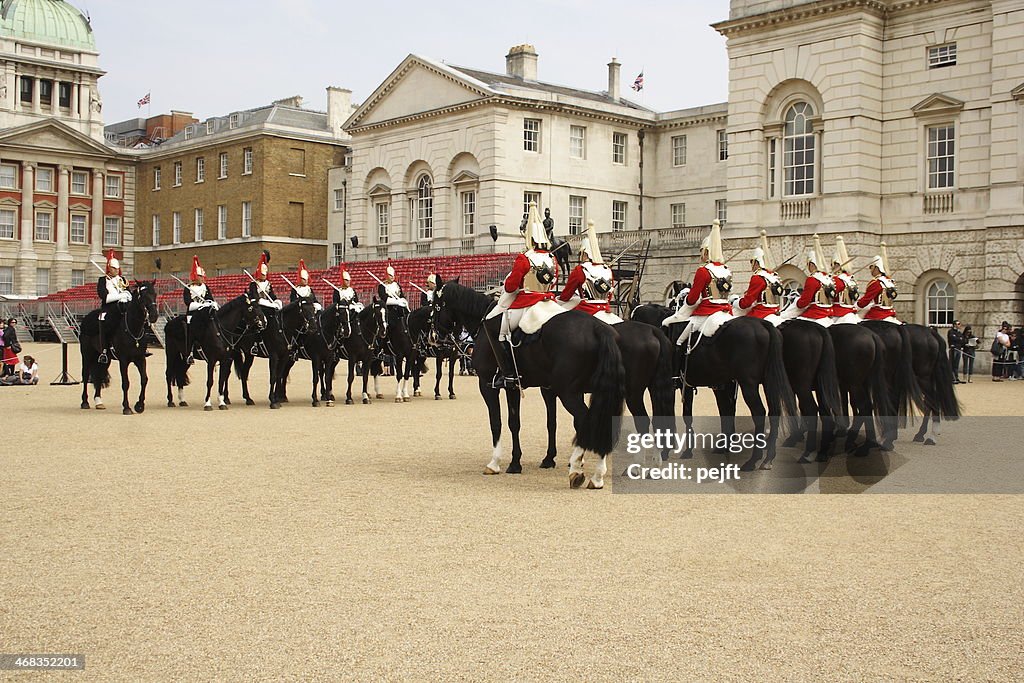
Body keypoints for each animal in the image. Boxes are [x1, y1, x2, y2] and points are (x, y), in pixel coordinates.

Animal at [78, 280, 157, 413]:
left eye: (155, 294)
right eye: (142, 296)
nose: (154, 316)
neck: (133, 330)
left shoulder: (140, 358)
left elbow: (144, 380)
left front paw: (139, 405)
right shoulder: (123, 360)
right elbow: (126, 383)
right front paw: (127, 407)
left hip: (105, 359)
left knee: (99, 375)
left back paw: (99, 402)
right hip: (87, 354)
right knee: (85, 375)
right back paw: (85, 402)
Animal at [430, 278, 622, 491]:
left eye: (434, 305)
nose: (435, 337)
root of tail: (599, 328)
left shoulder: (487, 385)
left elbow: (496, 422)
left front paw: (495, 463)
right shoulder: (514, 386)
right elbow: (516, 423)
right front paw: (517, 462)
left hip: (568, 393)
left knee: (586, 421)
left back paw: (578, 471)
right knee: (601, 422)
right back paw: (596, 476)